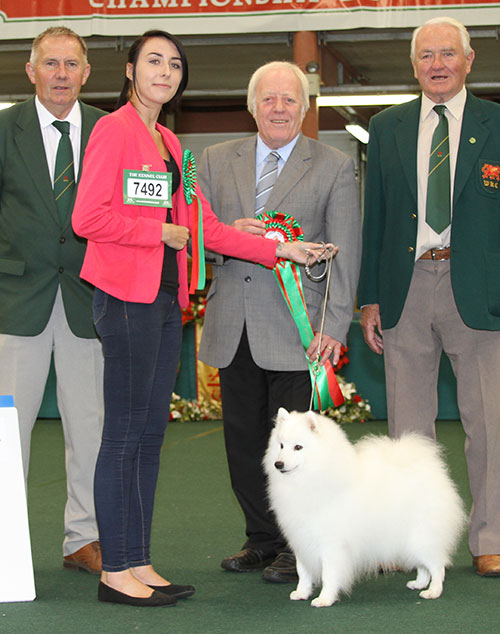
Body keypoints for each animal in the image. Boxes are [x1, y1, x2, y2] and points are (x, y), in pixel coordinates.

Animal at [264, 408, 466, 604]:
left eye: (298, 447)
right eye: (281, 446)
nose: (278, 464)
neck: (313, 477)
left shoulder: (331, 544)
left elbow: (329, 574)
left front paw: (324, 599)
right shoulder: (301, 540)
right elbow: (303, 572)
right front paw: (301, 593)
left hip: (421, 537)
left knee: (437, 566)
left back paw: (433, 591)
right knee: (423, 565)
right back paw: (419, 583)